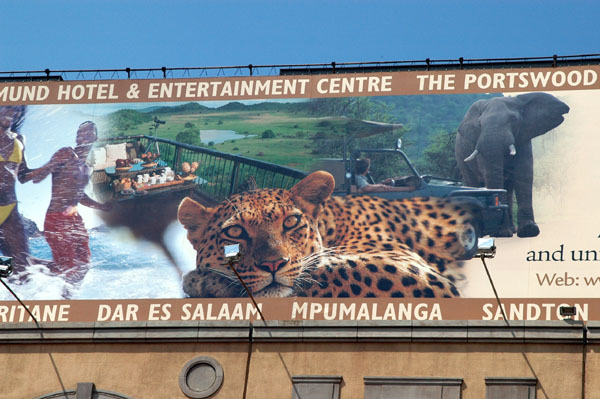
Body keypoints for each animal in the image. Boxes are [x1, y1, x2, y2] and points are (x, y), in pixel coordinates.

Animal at [176, 170, 476, 298]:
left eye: (291, 221)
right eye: (235, 231)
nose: (273, 264)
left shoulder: (415, 272)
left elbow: (328, 271)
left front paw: (201, 279)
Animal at [458, 93, 568, 238]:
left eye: (513, 119)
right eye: (480, 124)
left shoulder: (523, 138)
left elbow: (524, 175)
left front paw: (529, 231)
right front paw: (502, 233)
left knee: (508, 189)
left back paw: (511, 230)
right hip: (460, 157)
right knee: (473, 183)